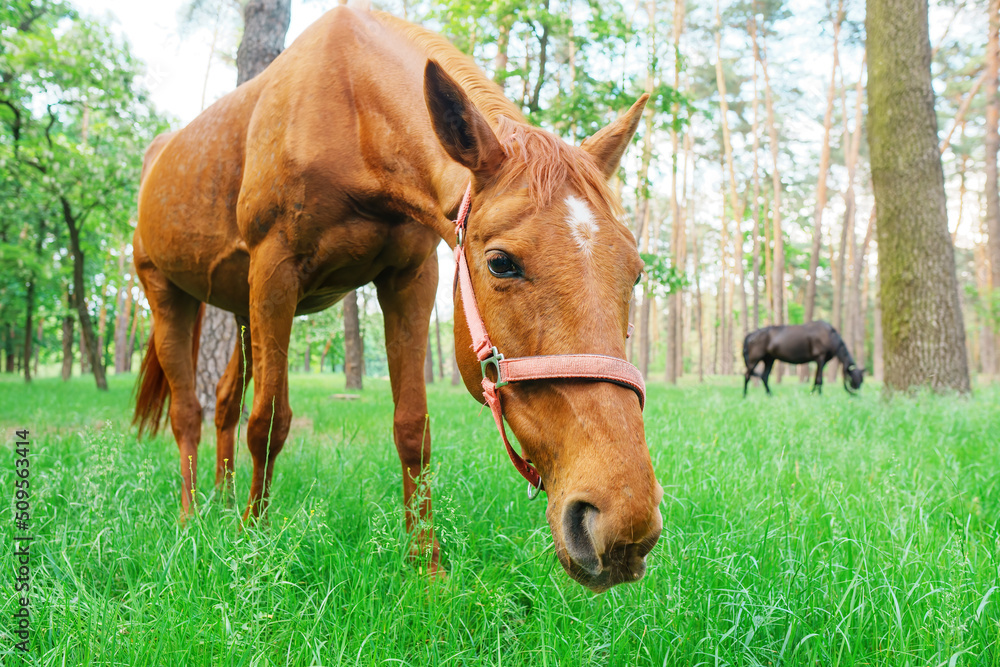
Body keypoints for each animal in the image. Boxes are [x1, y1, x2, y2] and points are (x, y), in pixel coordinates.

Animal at [132, 6, 662, 592]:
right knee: (188, 413)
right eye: (501, 262)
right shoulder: (275, 273)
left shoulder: (409, 279)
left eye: (636, 273)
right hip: (170, 295)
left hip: (242, 313)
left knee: (224, 402)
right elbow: (268, 422)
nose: (623, 522)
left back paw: (223, 502)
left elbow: (412, 428)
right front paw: (254, 546)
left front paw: (425, 564)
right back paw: (192, 518)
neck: (353, 110)